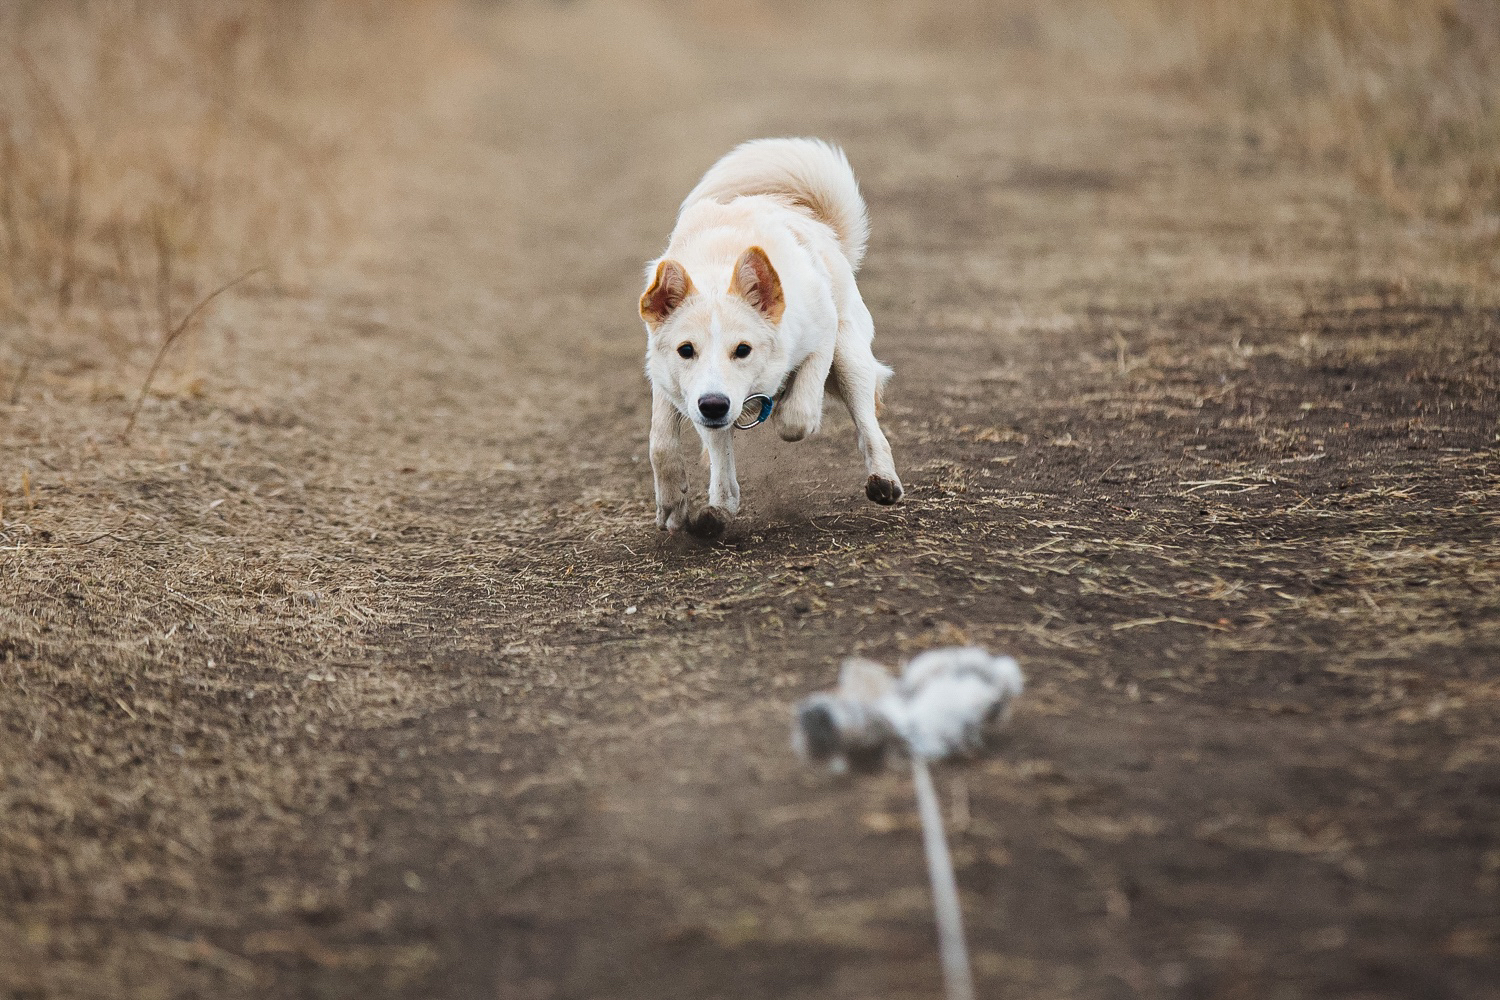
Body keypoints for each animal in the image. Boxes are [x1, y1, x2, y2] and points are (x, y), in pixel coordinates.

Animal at [636, 138, 894, 539]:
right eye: (685, 350)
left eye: (743, 350)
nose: (714, 405)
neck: (718, 267)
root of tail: (819, 225)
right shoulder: (677, 387)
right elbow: (669, 445)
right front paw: (691, 506)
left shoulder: (821, 337)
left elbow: (797, 417)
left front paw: (787, 408)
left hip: (849, 360)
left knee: (869, 425)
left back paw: (884, 479)